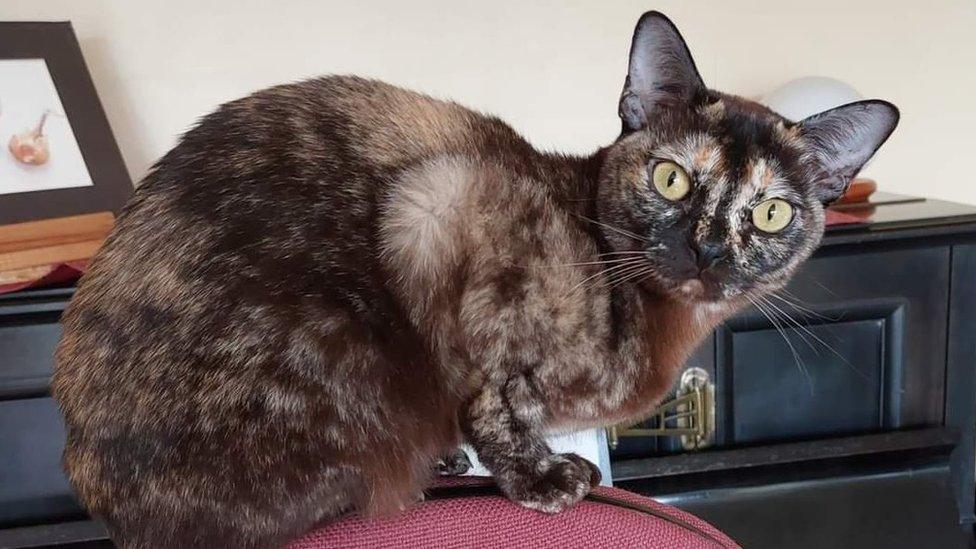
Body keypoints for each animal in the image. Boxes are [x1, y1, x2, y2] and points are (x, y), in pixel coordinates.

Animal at [49, 9, 896, 548]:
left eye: (772, 214)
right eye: (673, 179)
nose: (709, 250)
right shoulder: (448, 204)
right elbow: (493, 398)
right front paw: (541, 475)